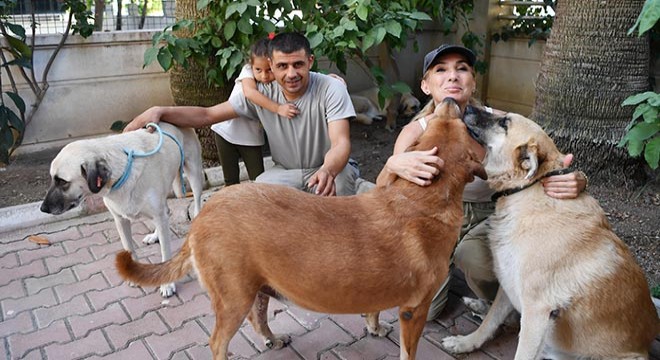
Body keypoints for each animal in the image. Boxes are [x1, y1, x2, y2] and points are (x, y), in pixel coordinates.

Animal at [39, 122, 204, 296]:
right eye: (53, 179)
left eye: (62, 181)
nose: (43, 208)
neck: (123, 170)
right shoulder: (120, 220)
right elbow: (129, 248)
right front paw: (133, 274)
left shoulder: (158, 215)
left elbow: (165, 253)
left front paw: (167, 284)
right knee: (167, 212)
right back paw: (155, 235)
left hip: (194, 173)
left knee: (196, 203)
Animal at [113, 97, 484, 358]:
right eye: (460, 125)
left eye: (438, 119)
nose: (450, 100)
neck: (420, 197)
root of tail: (205, 213)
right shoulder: (414, 312)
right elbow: (409, 351)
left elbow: (374, 310)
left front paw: (374, 327)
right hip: (234, 298)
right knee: (217, 342)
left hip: (257, 289)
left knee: (258, 319)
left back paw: (273, 339)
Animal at [444, 107, 660, 360]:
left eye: (504, 122)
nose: (468, 107)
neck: (529, 188)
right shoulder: (510, 283)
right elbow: (490, 322)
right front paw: (465, 342)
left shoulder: (537, 310)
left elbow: (519, 348)